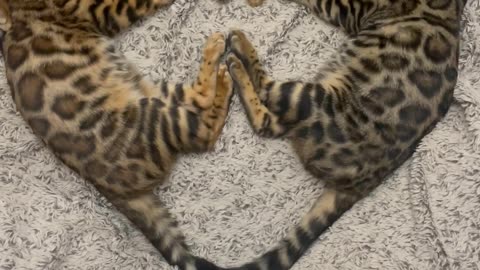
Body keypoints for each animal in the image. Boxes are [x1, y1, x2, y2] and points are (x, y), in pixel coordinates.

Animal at [0, 0, 232, 270]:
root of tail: (107, 186)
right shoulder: (103, 11)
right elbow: (142, 1)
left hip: (152, 91)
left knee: (194, 98)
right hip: (152, 114)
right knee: (204, 125)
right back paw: (222, 74)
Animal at [224, 0, 464, 268]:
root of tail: (366, 181)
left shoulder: (347, 9)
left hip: (310, 100)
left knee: (267, 93)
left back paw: (239, 51)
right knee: (269, 121)